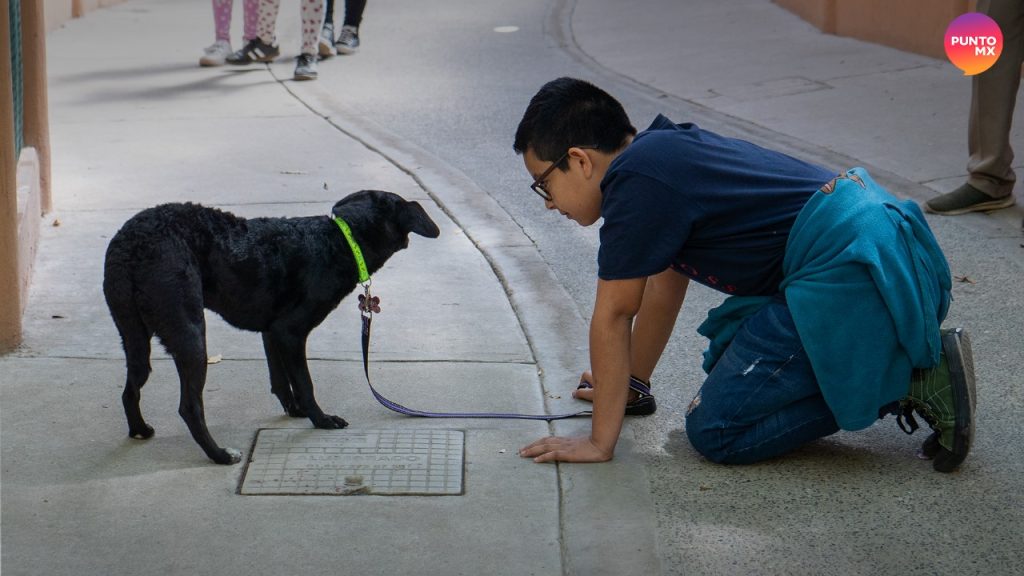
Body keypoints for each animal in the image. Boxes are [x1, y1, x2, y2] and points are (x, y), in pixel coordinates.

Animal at [101, 189, 438, 461]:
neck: (342, 239)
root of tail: (129, 246)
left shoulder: (272, 331)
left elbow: (280, 378)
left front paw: (295, 410)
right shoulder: (290, 332)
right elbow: (304, 383)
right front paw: (320, 419)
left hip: (132, 332)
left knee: (130, 389)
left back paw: (140, 429)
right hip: (190, 333)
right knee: (189, 407)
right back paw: (219, 455)